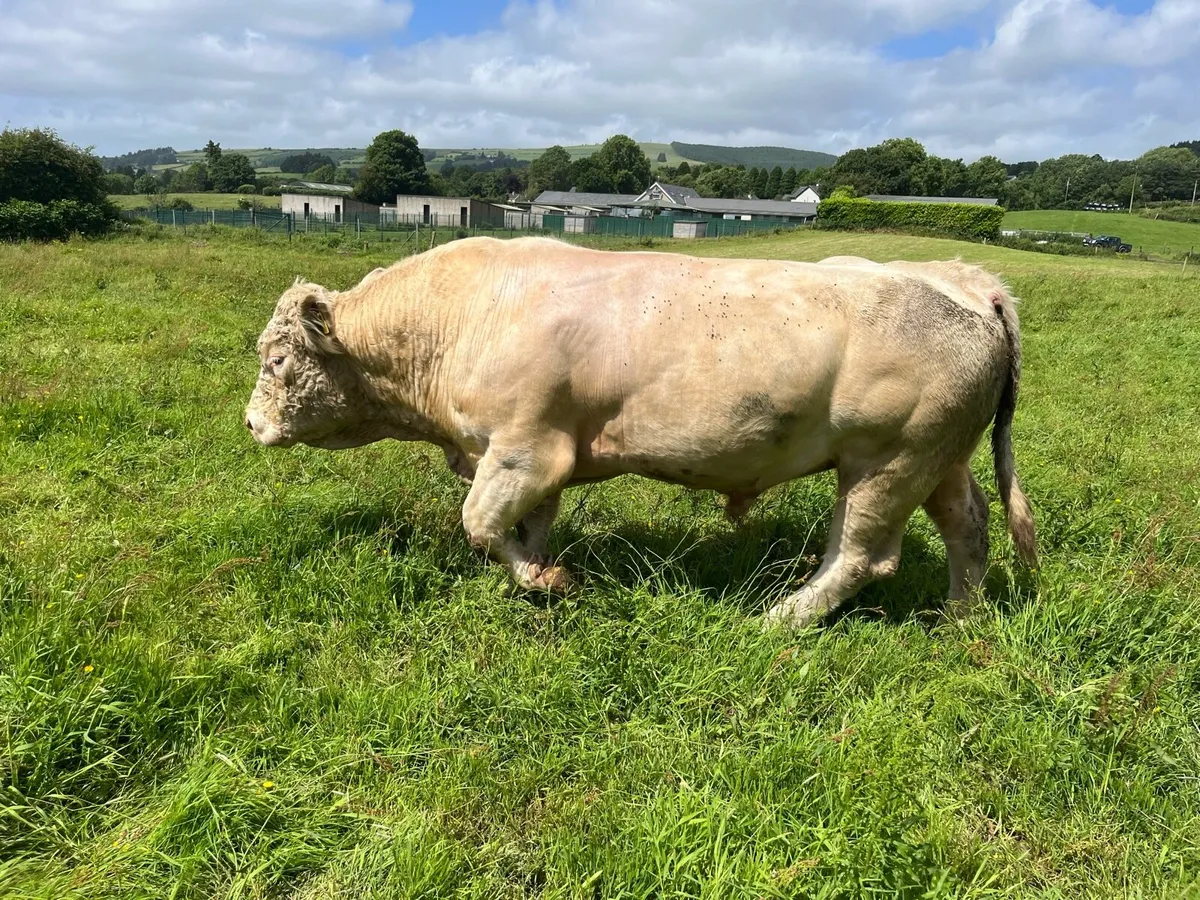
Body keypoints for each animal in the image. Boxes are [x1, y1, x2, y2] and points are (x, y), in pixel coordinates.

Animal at [245, 237, 1036, 627]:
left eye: (277, 360)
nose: (251, 422)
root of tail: (967, 281)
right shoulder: (542, 456)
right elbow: (527, 525)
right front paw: (540, 572)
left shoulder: (525, 448)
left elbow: (480, 523)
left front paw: (545, 580)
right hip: (938, 457)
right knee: (969, 526)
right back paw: (960, 620)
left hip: (888, 460)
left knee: (860, 556)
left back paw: (778, 620)